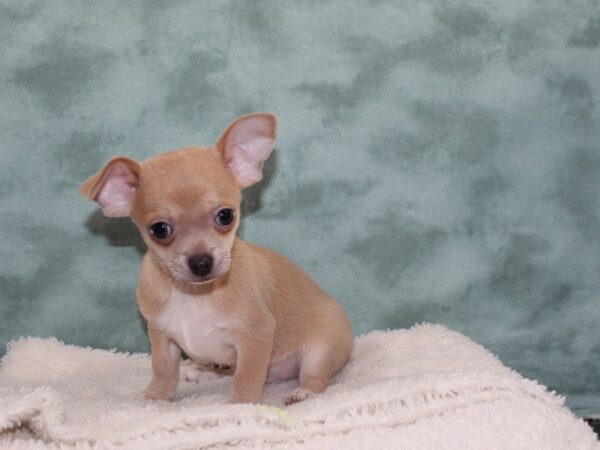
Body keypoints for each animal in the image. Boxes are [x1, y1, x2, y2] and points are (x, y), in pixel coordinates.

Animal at [79, 112, 352, 404]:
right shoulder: (162, 336)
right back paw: (204, 372)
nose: (201, 262)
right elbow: (163, 371)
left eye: (226, 216)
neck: (195, 295)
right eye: (159, 229)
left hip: (321, 349)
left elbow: (245, 379)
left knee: (316, 377)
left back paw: (303, 392)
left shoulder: (255, 336)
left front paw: (241, 407)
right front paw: (154, 399)